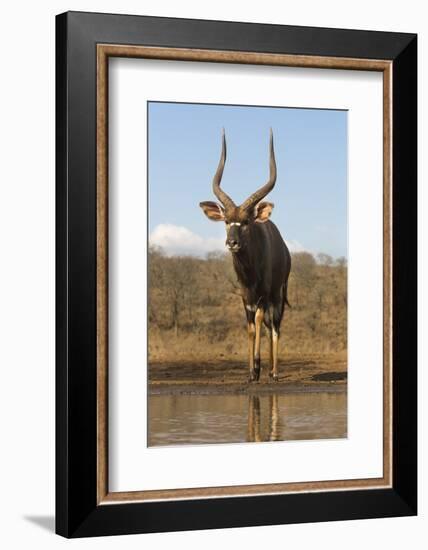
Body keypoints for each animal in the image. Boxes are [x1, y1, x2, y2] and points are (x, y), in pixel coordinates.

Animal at [201, 129, 290, 384]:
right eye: (226, 221)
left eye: (246, 221)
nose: (232, 242)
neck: (250, 273)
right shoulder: (245, 297)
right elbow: (250, 327)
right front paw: (251, 372)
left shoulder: (262, 295)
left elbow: (259, 321)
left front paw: (258, 369)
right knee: (269, 326)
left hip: (278, 294)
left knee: (275, 326)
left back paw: (273, 372)